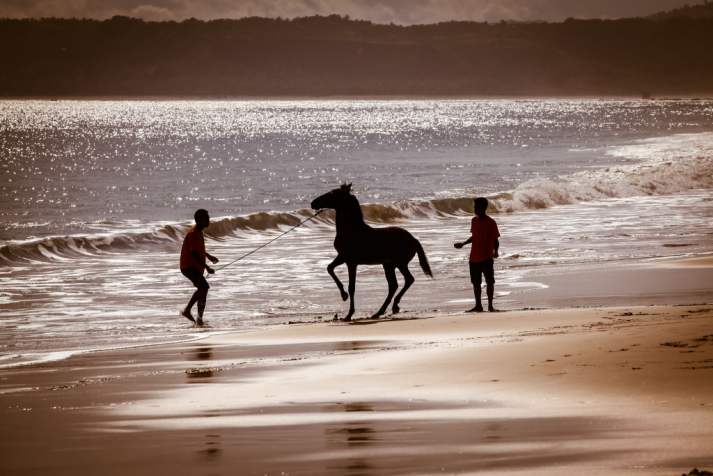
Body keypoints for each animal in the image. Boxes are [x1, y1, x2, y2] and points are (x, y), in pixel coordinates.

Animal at [312, 184, 434, 322]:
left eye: (332, 194)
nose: (313, 203)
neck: (351, 230)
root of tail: (414, 239)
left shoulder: (351, 262)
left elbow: (352, 287)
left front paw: (349, 314)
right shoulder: (342, 257)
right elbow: (330, 268)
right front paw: (343, 295)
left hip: (400, 263)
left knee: (408, 280)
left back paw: (393, 306)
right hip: (389, 265)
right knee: (394, 285)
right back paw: (379, 312)